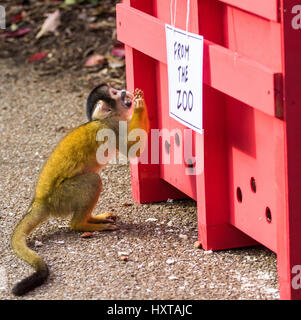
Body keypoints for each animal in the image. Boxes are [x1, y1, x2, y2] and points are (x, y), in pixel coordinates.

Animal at [10, 84, 149, 296]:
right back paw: (82, 224)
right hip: (62, 196)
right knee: (92, 180)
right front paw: (141, 107)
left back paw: (92, 218)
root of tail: (39, 201)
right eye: (116, 94)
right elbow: (132, 150)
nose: (125, 91)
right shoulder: (113, 129)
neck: (104, 119)